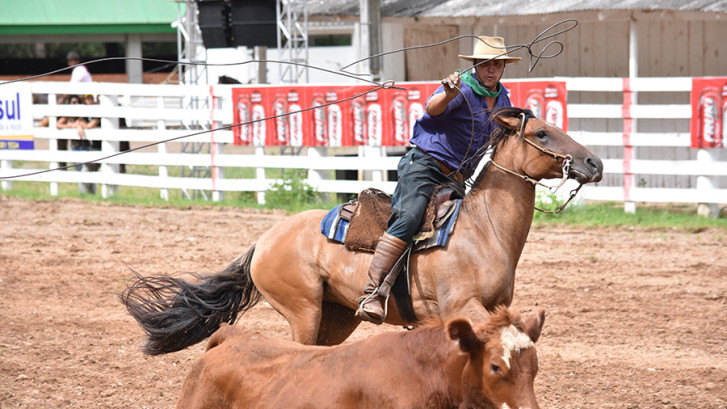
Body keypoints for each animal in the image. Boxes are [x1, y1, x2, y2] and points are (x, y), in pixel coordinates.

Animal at [123, 107, 604, 352]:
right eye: (542, 133)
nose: (594, 162)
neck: (482, 230)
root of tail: (263, 242)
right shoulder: (463, 307)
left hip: (335, 317)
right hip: (304, 311)